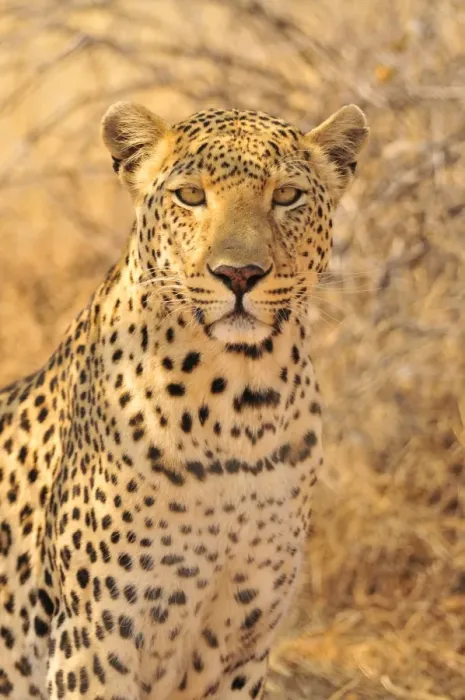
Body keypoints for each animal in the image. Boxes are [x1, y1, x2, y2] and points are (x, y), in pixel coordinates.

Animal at [0, 101, 368, 700]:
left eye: (287, 196)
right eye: (191, 196)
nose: (239, 274)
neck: (244, 403)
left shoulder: (241, 643)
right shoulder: (96, 639)